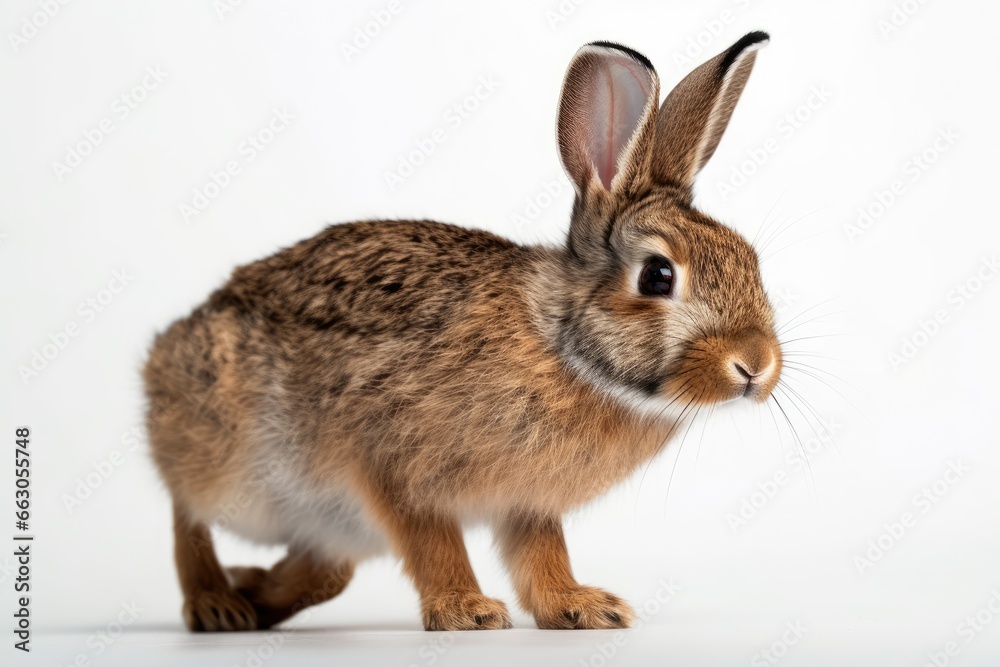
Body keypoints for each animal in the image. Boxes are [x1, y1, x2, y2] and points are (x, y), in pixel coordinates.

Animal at [143, 31, 780, 636]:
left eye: (750, 259)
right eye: (657, 276)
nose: (757, 364)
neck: (564, 349)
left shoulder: (527, 502)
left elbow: (541, 554)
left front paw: (581, 607)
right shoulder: (394, 465)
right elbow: (433, 543)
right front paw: (467, 611)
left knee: (325, 571)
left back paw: (252, 589)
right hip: (227, 455)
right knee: (186, 515)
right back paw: (217, 604)